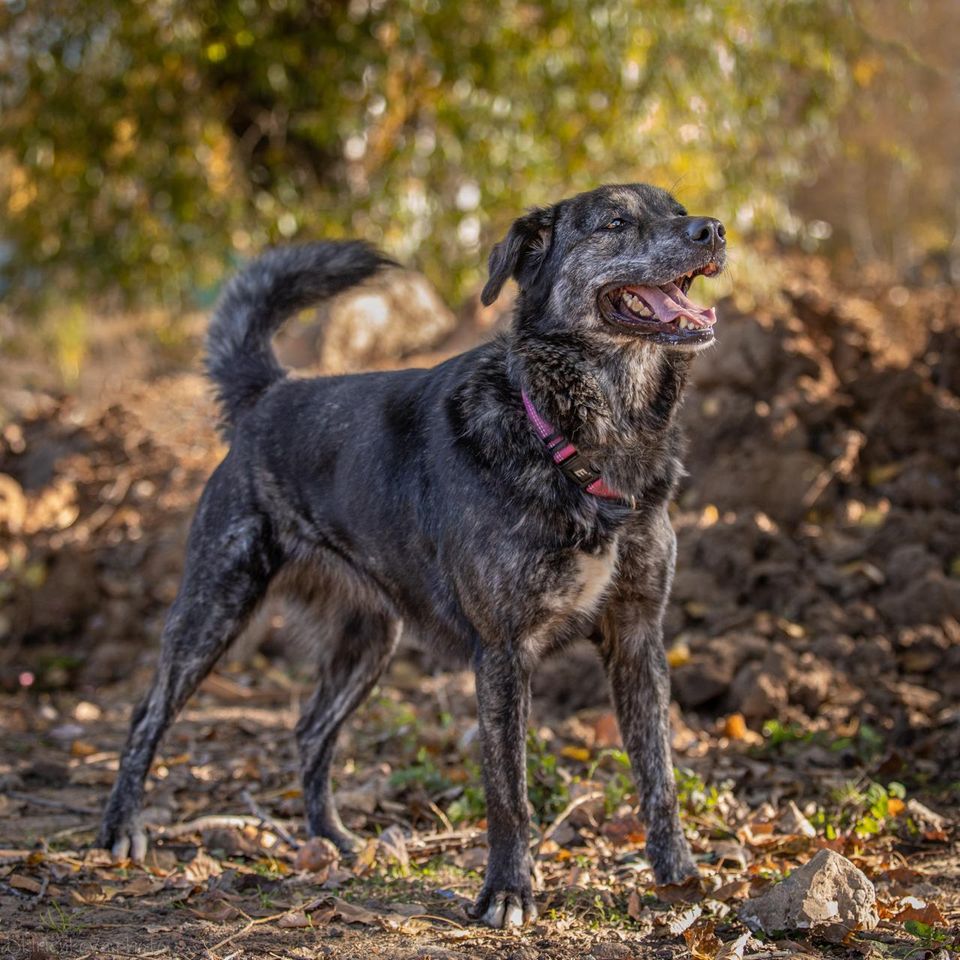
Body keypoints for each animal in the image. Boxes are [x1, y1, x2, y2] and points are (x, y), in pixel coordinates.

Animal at [99, 184, 728, 928]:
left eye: (678, 209)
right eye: (615, 222)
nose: (714, 229)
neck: (584, 437)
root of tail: (272, 393)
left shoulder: (636, 637)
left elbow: (658, 775)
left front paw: (679, 876)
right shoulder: (503, 654)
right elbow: (509, 793)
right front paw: (507, 892)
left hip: (369, 639)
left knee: (310, 730)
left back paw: (333, 839)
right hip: (213, 607)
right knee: (148, 715)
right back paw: (122, 829)